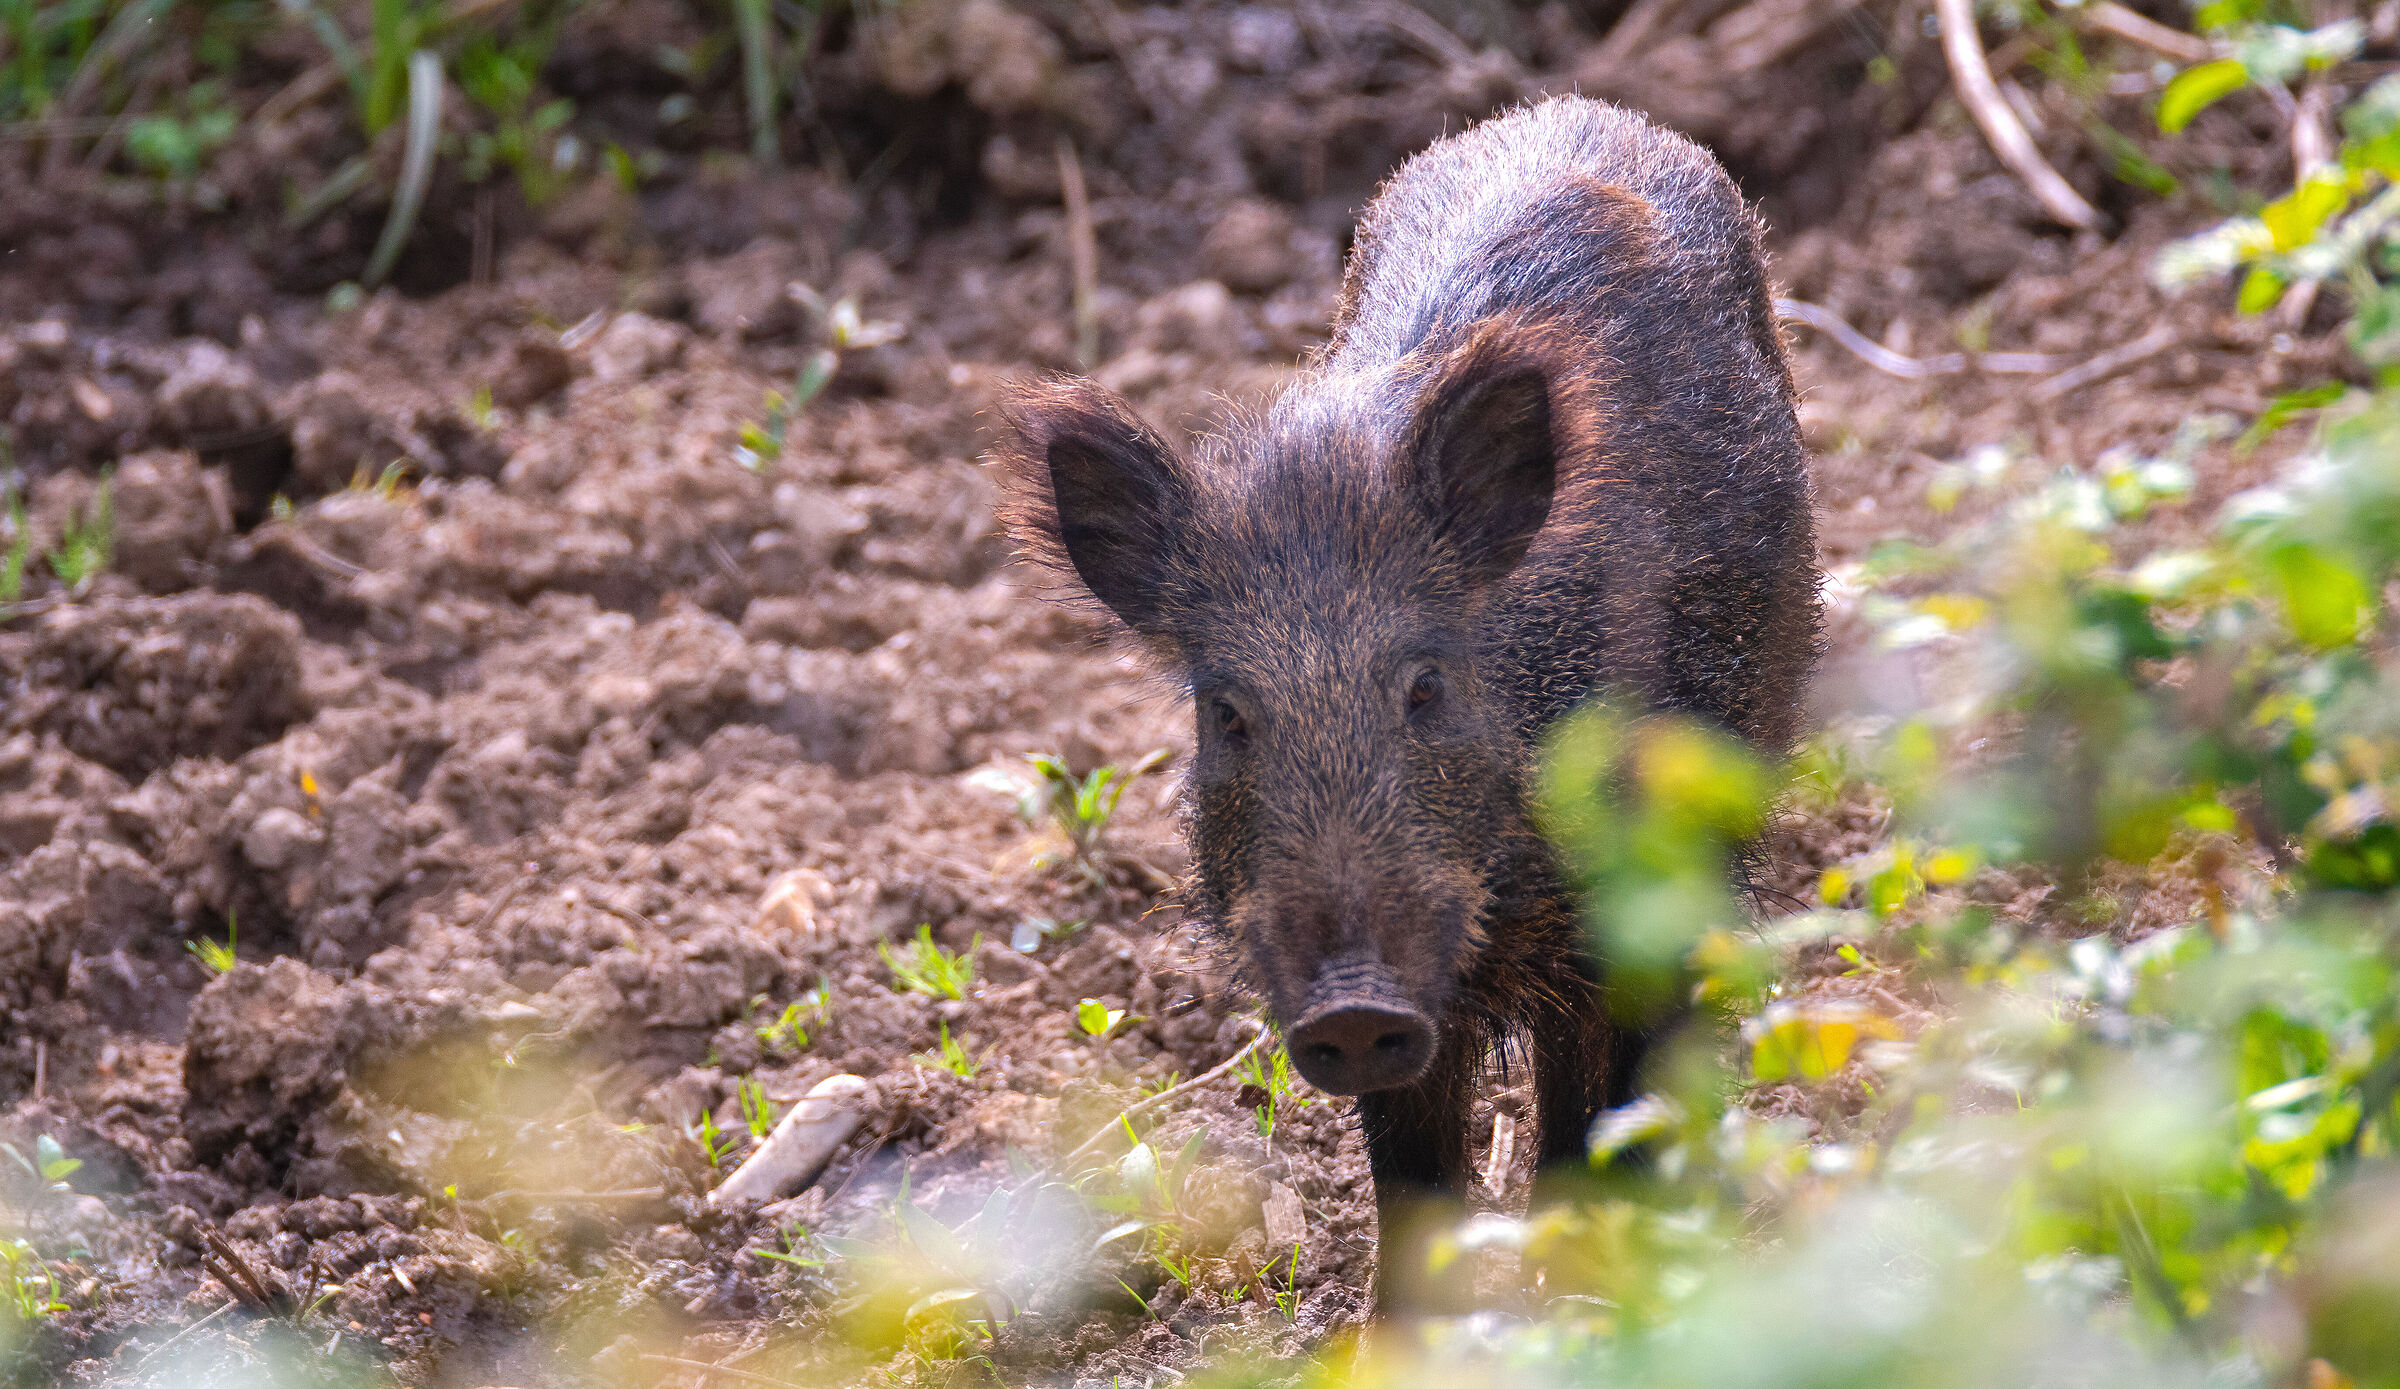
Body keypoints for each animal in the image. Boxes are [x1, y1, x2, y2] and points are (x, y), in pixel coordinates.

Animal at [991, 96, 1819, 1304]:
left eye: (1426, 684)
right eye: (1226, 712)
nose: (1353, 1000)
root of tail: (1583, 109)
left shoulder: (1644, 888)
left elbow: (1618, 1107)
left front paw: (1599, 1295)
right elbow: (1412, 1178)